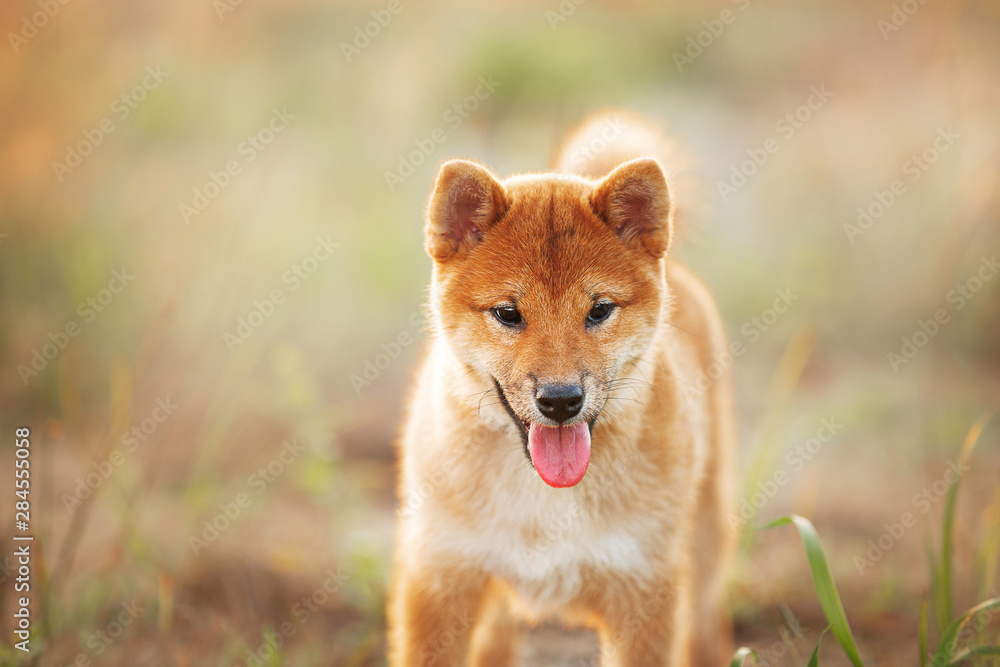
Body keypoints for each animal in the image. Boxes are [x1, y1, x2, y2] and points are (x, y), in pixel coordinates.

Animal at [390, 112, 736, 664]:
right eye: (508, 313)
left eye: (599, 310)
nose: (560, 400)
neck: (544, 500)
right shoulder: (439, 576)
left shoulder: (643, 592)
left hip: (702, 555)